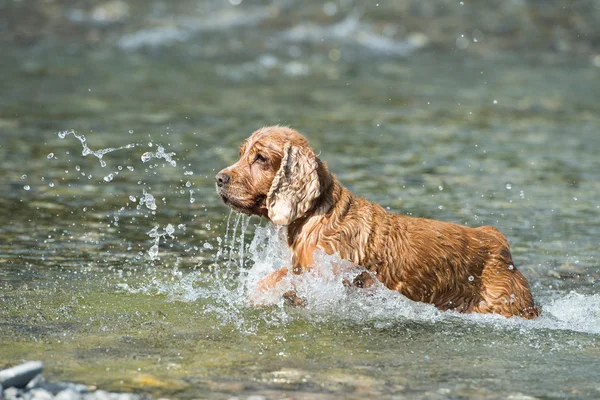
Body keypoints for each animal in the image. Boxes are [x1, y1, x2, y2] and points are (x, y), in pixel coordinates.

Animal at [216, 125, 540, 318]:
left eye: (260, 158)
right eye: (242, 153)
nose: (219, 178)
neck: (317, 216)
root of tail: (495, 238)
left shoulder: (329, 273)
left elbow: (280, 277)